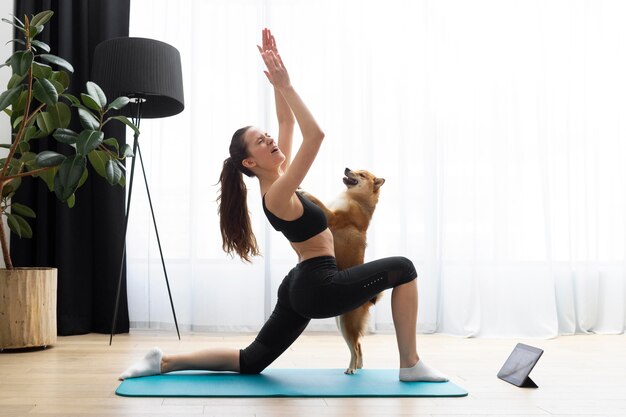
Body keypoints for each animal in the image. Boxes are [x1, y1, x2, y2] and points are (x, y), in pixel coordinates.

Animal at [298, 167, 382, 372]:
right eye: (356, 169)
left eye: (361, 175)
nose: (347, 168)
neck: (355, 199)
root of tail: (368, 301)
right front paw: (300, 187)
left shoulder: (332, 217)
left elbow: (318, 201)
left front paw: (305, 193)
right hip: (341, 323)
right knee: (357, 346)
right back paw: (357, 367)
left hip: (346, 323)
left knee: (356, 347)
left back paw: (351, 369)